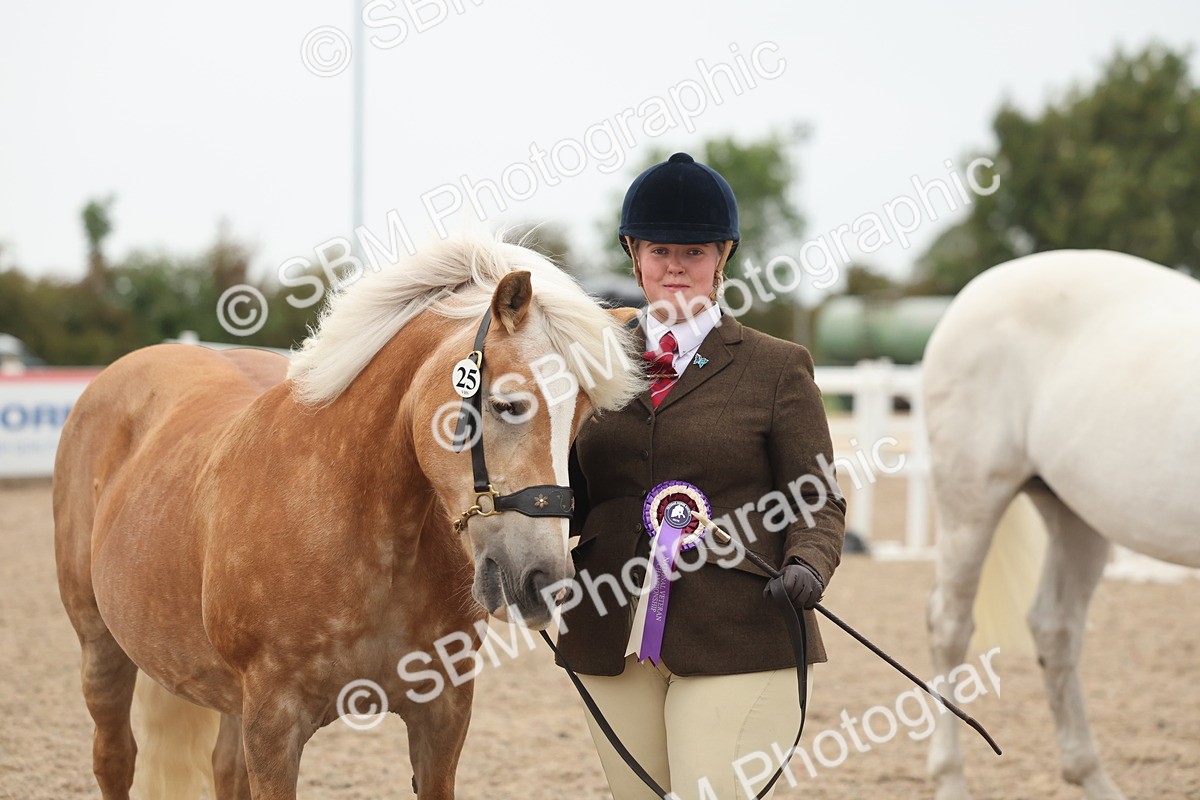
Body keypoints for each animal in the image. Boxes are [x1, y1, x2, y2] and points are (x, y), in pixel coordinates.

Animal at [52, 233, 644, 800]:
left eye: (583, 422)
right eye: (508, 404)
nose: (544, 581)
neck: (362, 532)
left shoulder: (443, 714)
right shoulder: (273, 725)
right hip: (100, 649)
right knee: (114, 759)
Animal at [922, 249, 1200, 800]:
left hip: (1075, 515)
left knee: (1055, 629)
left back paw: (1090, 775)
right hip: (971, 500)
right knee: (950, 626)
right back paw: (951, 780)